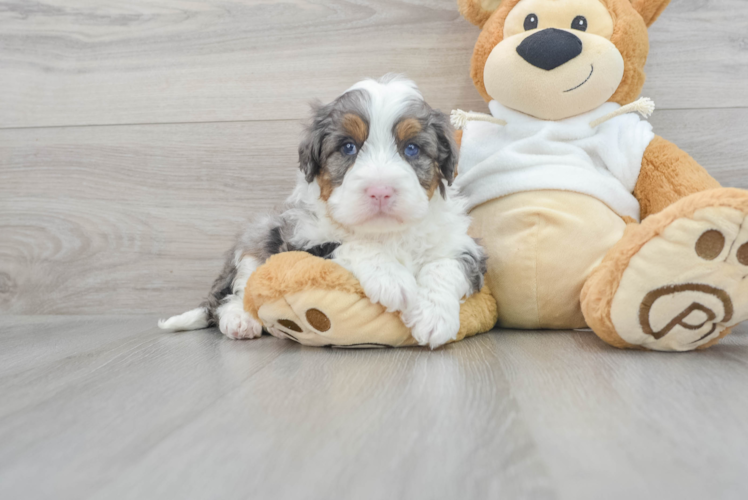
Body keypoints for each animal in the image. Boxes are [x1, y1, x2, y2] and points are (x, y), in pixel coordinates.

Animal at [159, 75, 486, 348]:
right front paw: (391, 279)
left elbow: (444, 265)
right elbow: (351, 244)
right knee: (236, 291)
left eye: (412, 149)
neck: (385, 233)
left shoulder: (462, 245)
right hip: (260, 235)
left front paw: (433, 316)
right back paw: (240, 320)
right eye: (348, 147)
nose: (380, 190)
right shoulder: (302, 240)